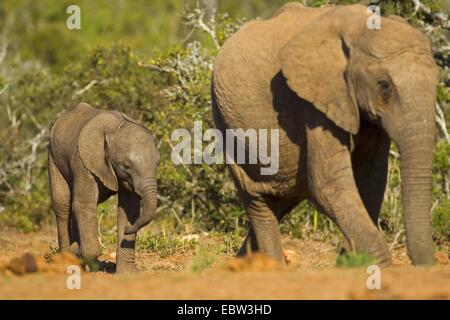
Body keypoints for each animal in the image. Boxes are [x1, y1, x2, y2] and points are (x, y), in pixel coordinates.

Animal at [48, 102, 158, 272]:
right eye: (127, 166)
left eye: (157, 163)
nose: (128, 229)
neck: (116, 128)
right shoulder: (83, 161)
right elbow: (84, 204)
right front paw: (78, 253)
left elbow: (129, 209)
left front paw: (128, 273)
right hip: (54, 159)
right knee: (63, 206)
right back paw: (67, 259)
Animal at [212, 3, 440, 266]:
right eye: (384, 85)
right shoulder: (313, 102)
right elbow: (328, 185)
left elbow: (371, 180)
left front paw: (351, 261)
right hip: (226, 122)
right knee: (257, 200)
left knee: (283, 200)